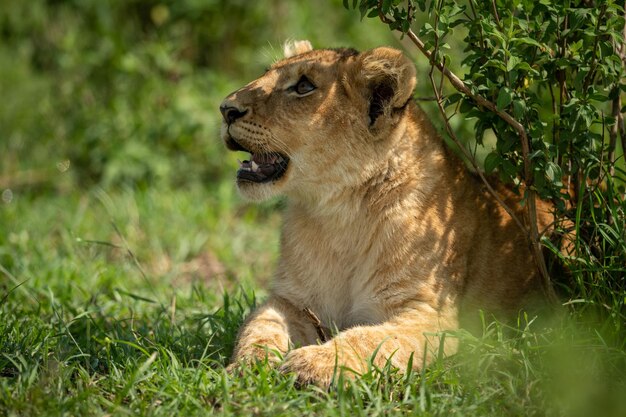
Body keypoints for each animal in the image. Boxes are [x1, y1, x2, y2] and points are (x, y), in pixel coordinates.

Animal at [217, 40, 548, 386]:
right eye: (266, 73)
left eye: (304, 86)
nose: (226, 109)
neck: (339, 214)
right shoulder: (291, 301)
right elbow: (260, 327)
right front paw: (248, 367)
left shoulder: (430, 316)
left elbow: (368, 338)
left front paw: (313, 363)